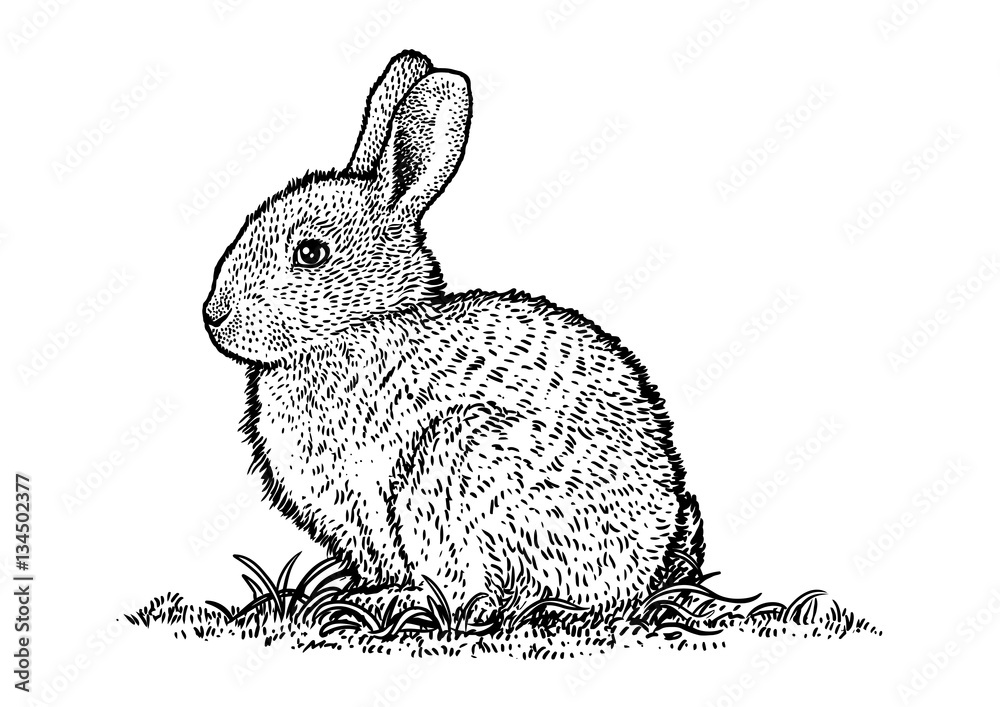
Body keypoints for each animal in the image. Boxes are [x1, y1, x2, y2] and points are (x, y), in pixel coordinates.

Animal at [203, 50, 705, 623]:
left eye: (311, 253)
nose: (213, 317)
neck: (365, 326)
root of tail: (648, 564)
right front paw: (346, 594)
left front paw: (378, 600)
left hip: (460, 463)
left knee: (496, 594)